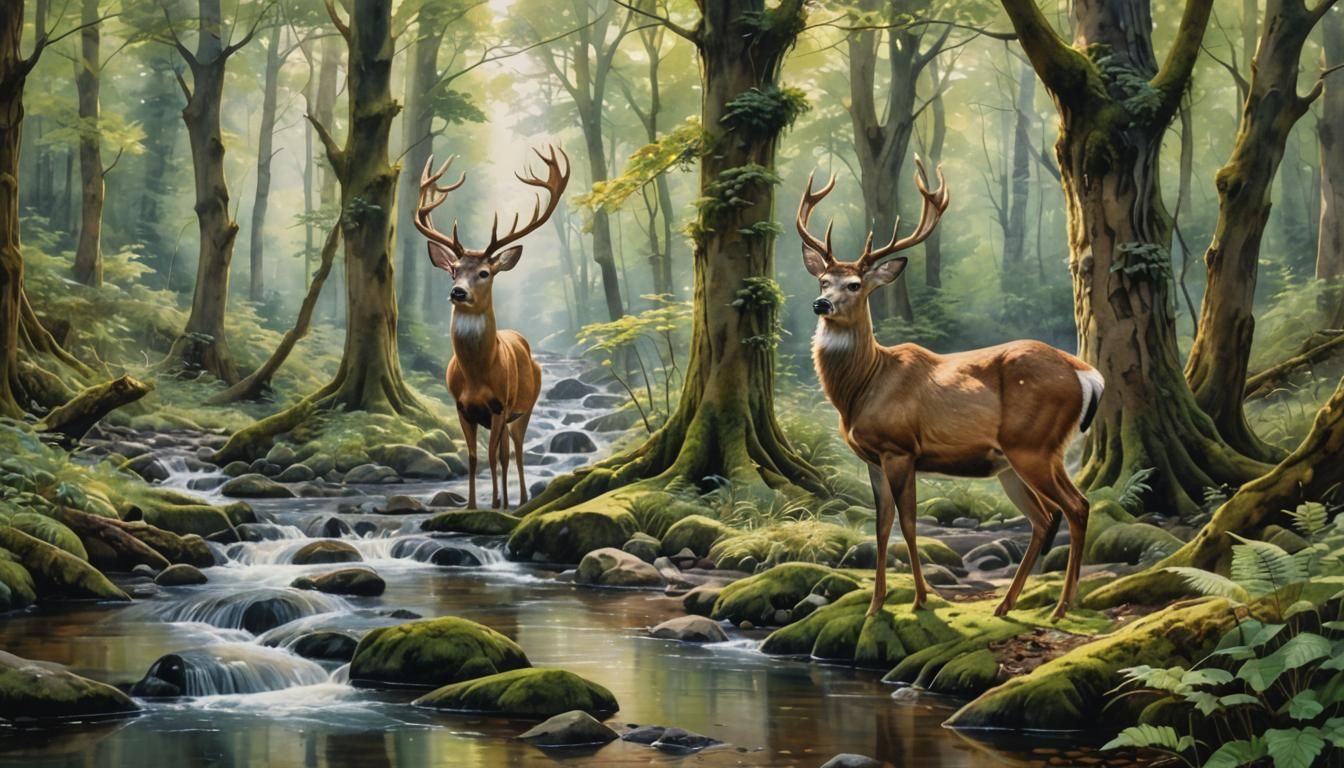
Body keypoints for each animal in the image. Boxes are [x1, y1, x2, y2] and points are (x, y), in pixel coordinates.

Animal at [414, 146, 571, 510]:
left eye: (485, 272)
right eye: (453, 270)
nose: (458, 292)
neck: (477, 375)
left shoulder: (501, 405)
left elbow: (492, 457)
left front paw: (497, 504)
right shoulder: (462, 408)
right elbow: (473, 458)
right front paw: (472, 505)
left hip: (525, 405)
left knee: (515, 451)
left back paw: (519, 498)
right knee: (503, 452)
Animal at [796, 160, 1104, 622]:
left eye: (854, 285)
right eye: (823, 280)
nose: (821, 305)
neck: (864, 386)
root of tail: (1086, 372)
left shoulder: (900, 448)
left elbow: (907, 523)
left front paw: (921, 599)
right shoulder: (872, 457)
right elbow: (881, 526)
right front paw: (875, 604)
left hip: (1033, 445)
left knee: (1075, 507)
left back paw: (1061, 606)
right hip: (1019, 460)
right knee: (1045, 517)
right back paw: (1006, 605)